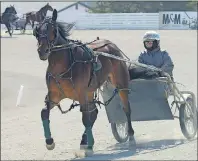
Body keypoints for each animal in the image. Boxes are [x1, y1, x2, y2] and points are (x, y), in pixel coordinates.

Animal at [33, 8, 135, 155]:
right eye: (37, 31)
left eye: (52, 30)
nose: (42, 51)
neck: (64, 64)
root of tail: (110, 44)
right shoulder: (54, 95)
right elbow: (44, 112)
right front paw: (49, 142)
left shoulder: (82, 94)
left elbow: (86, 119)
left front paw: (90, 146)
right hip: (90, 92)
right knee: (94, 112)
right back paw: (84, 141)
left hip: (121, 85)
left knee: (126, 108)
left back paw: (131, 136)